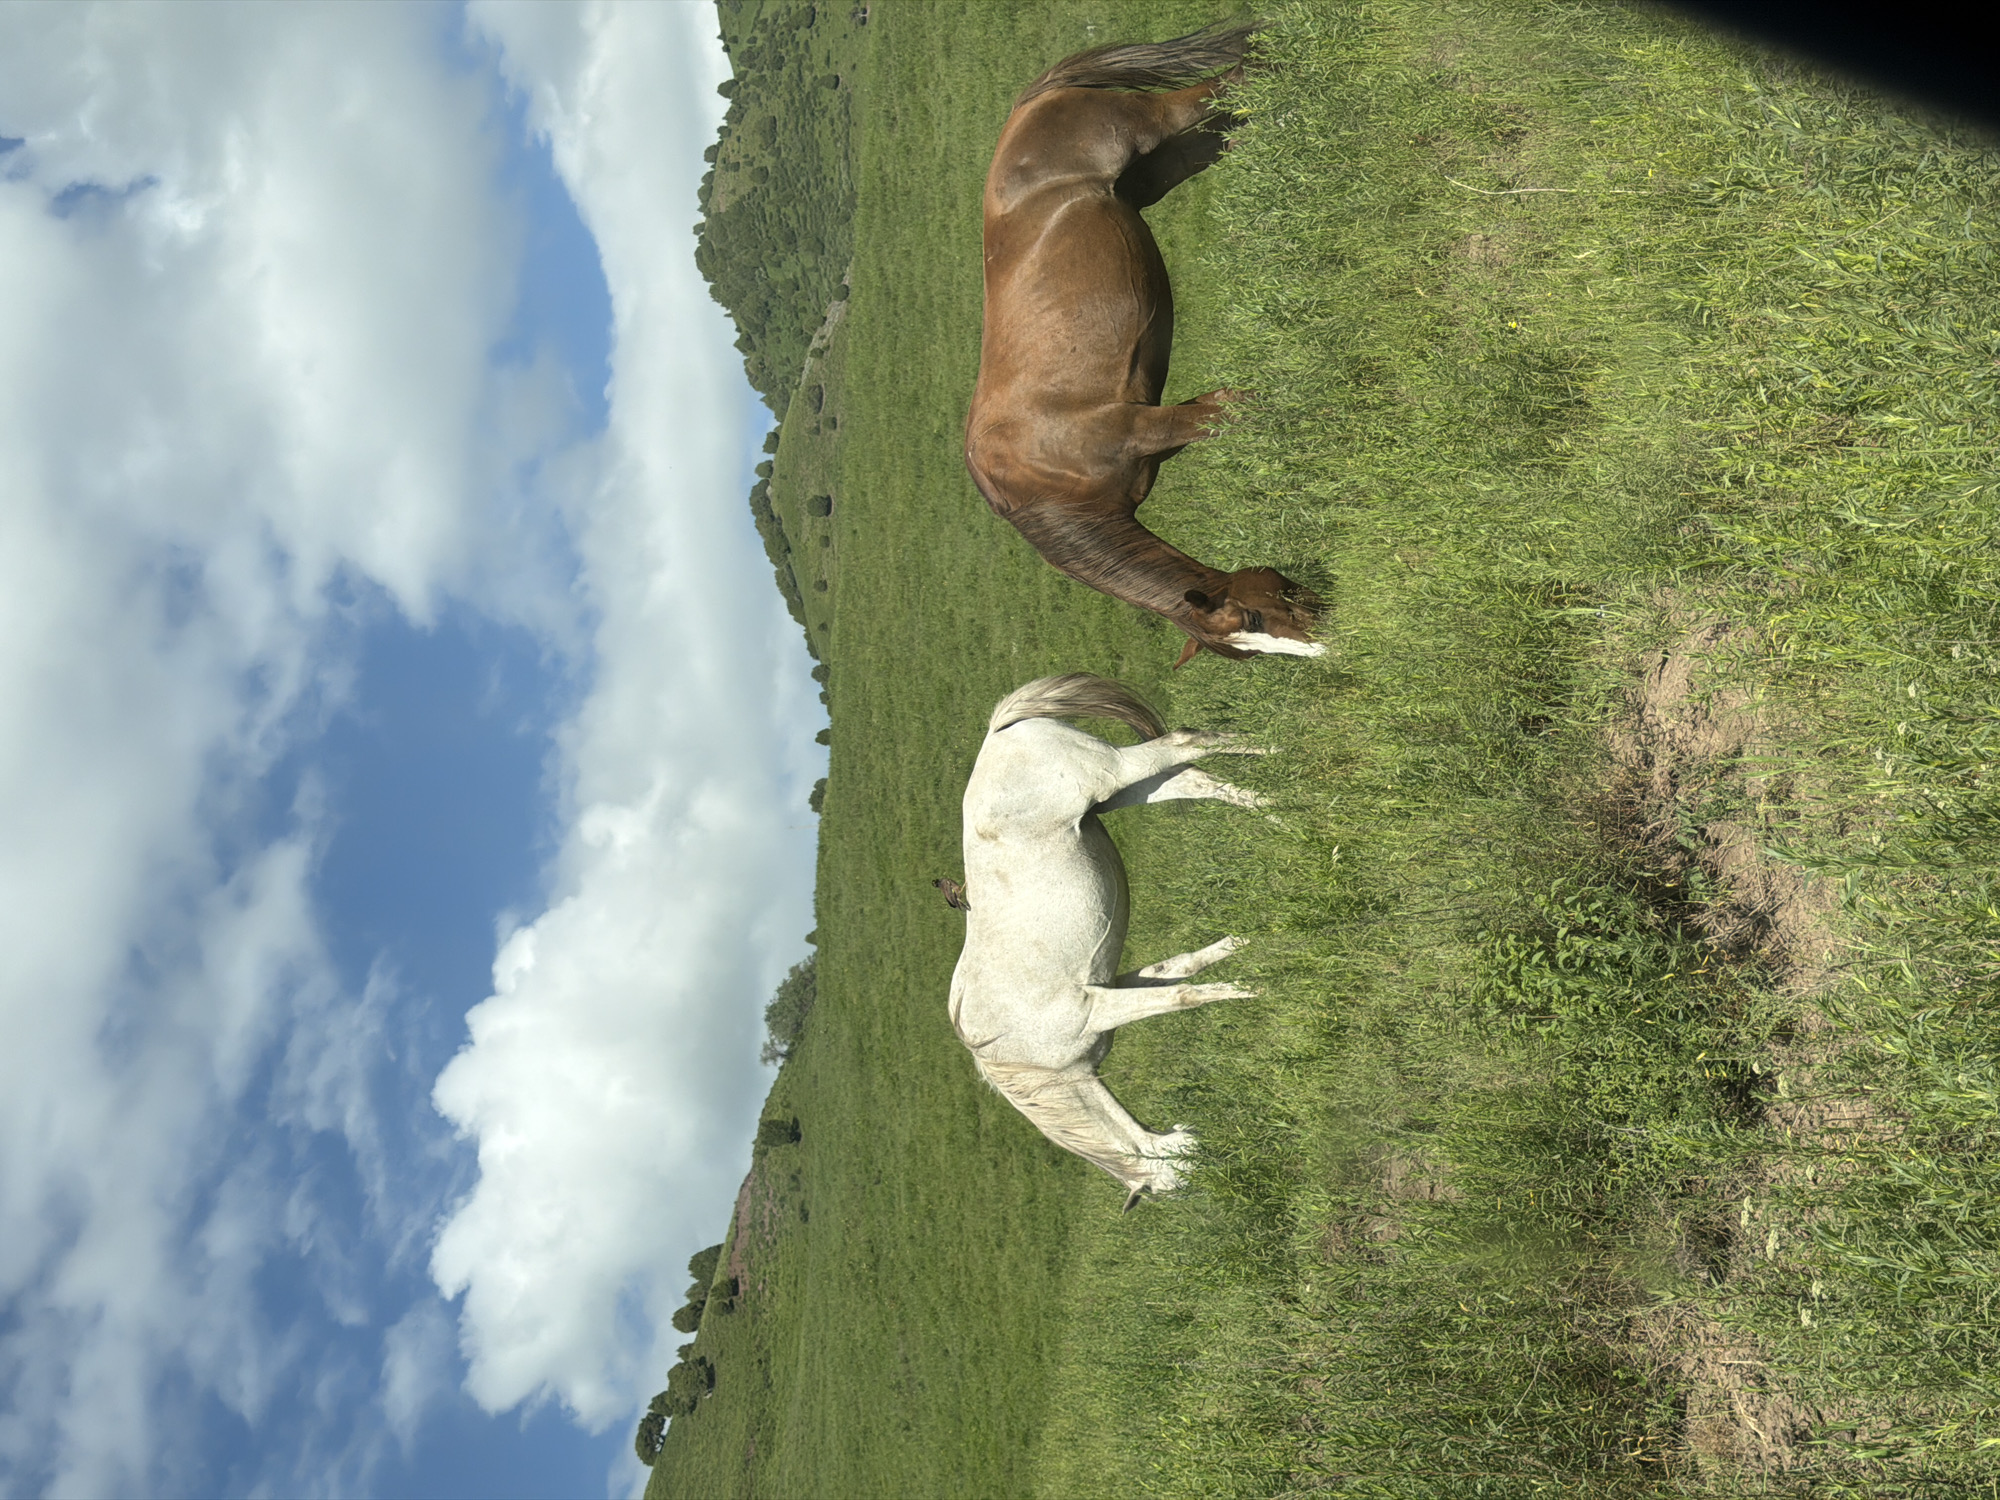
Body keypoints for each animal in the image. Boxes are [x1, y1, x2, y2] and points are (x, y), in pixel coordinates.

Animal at [949, 674, 1267, 1207]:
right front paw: (1248, 948)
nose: (1230, 1173)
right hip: (1131, 790)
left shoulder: (1096, 1007)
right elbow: (1180, 970)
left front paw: (1255, 990)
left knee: (1186, 743)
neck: (1021, 1056)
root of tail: (998, 733)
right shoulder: (1116, 985)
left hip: (1115, 774)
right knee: (1199, 781)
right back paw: (1280, 804)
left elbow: (1184, 997)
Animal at [964, 21, 1325, 667]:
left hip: (1152, 125)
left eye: (1257, 614)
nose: (1331, 644)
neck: (1043, 482)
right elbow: (1226, 409)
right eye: (1250, 637)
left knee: (1227, 84)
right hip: (1159, 169)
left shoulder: (1147, 423)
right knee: (1225, 125)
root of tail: (1029, 103)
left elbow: (1236, 412)